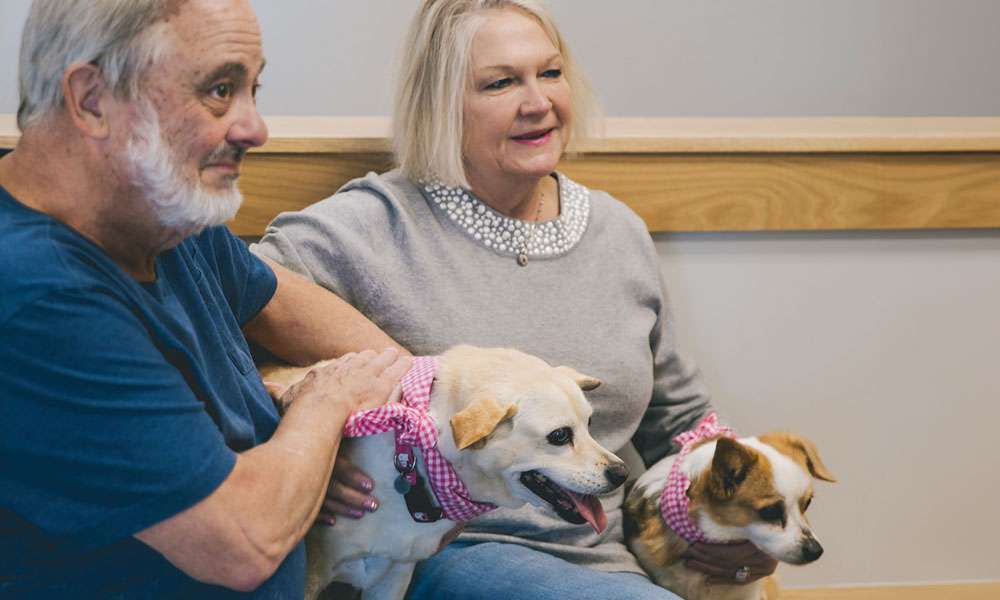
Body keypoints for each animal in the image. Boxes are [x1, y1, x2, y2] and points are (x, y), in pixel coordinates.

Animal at [264, 344, 624, 600]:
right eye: (560, 436)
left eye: (589, 424)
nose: (621, 474)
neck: (417, 456)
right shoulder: (314, 571)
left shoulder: (393, 576)